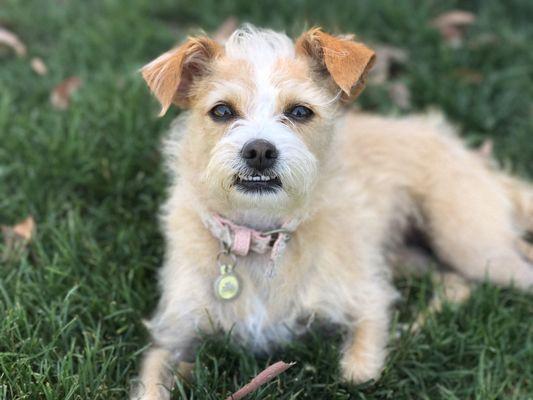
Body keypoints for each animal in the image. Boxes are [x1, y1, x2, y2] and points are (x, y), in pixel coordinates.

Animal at [131, 25, 532, 400]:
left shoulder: (366, 295)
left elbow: (359, 370)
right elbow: (151, 383)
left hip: (473, 248)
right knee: (456, 283)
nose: (259, 151)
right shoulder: (172, 337)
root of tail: (467, 153)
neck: (261, 236)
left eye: (299, 111)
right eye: (222, 111)